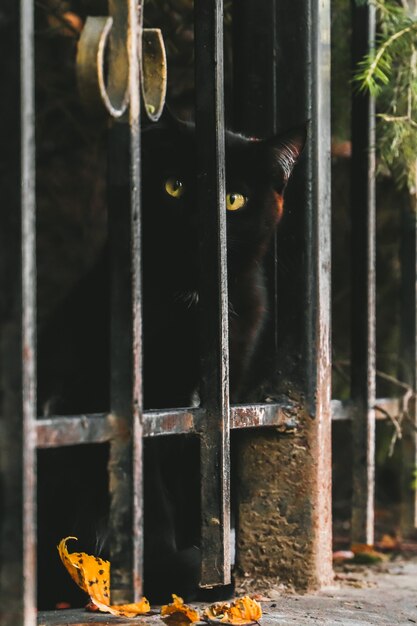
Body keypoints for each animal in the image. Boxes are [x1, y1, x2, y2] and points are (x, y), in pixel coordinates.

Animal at [36, 111, 302, 604]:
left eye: (233, 199)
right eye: (174, 186)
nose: (199, 223)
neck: (194, 299)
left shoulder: (216, 407)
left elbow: (206, 487)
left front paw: (210, 570)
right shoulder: (141, 406)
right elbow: (149, 496)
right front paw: (165, 574)